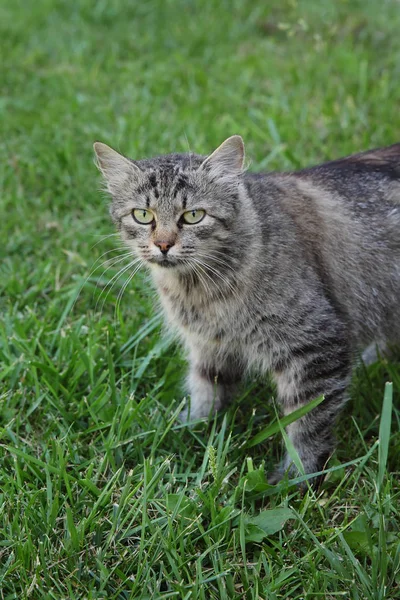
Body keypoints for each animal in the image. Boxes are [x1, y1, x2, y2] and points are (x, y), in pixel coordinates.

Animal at [94, 135, 400, 482]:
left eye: (194, 215)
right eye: (143, 215)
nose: (163, 245)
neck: (201, 290)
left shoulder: (314, 346)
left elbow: (307, 424)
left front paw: (296, 476)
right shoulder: (209, 345)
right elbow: (206, 392)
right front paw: (187, 428)